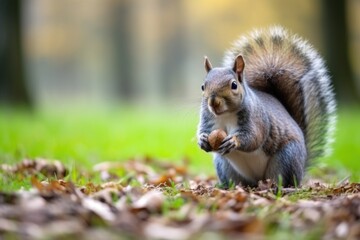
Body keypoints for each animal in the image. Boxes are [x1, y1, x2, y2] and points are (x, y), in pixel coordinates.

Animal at [197, 26, 334, 188]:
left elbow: (253, 137)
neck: (225, 115)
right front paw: (203, 140)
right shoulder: (208, 120)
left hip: (287, 158)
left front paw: (234, 141)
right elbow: (204, 130)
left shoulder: (257, 120)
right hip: (224, 164)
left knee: (283, 179)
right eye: (203, 86)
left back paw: (277, 187)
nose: (213, 102)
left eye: (234, 85)